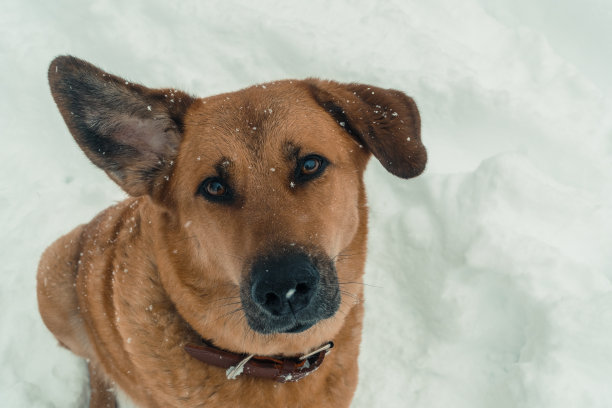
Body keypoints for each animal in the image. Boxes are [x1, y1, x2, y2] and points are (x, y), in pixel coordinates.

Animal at [37, 55, 426, 408]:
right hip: (53, 274)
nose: (284, 289)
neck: (274, 363)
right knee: (95, 362)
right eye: (214, 187)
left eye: (310, 164)